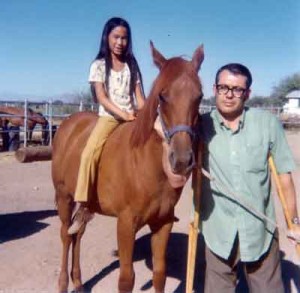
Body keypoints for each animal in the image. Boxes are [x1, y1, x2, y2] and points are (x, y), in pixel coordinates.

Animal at [52, 41, 205, 292]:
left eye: (199, 96)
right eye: (162, 96)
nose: (181, 160)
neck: (145, 164)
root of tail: (68, 124)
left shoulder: (162, 224)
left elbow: (159, 274)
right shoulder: (125, 225)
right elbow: (126, 279)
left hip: (85, 205)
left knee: (78, 234)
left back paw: (78, 282)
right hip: (64, 197)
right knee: (66, 235)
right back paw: (64, 283)